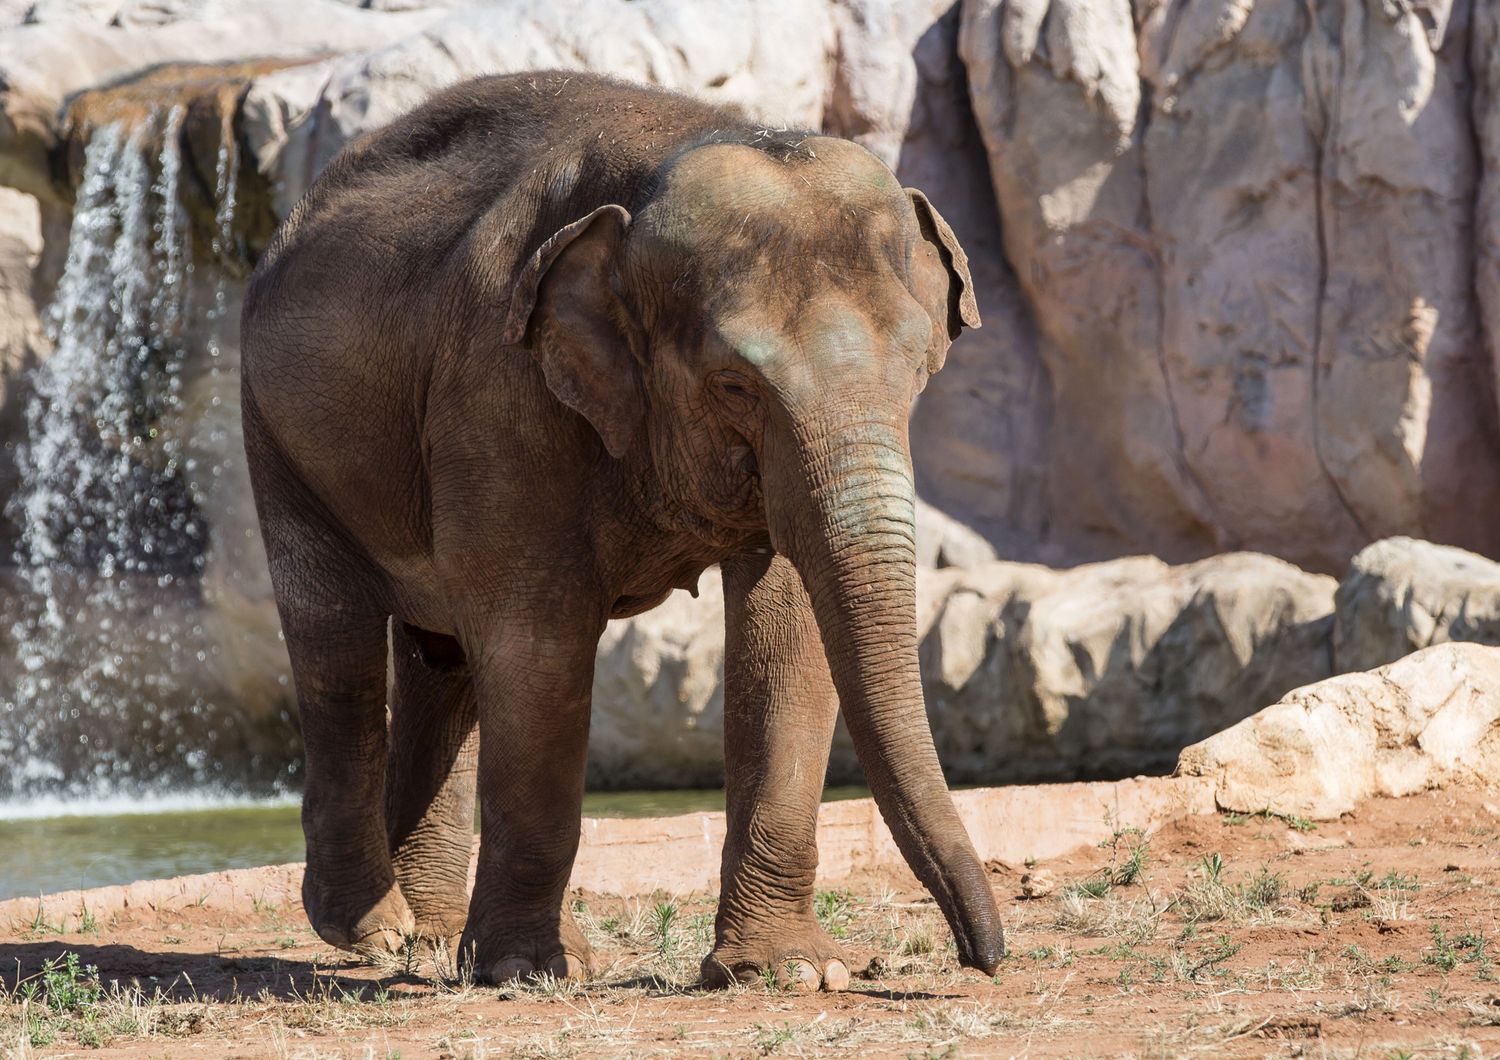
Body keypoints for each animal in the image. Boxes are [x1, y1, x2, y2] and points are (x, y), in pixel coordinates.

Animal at [240, 70, 1002, 989]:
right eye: (734, 384)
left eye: (920, 369)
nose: (983, 958)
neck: (678, 151)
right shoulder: (500, 385)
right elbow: (539, 644)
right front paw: (531, 971)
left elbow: (789, 635)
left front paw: (785, 971)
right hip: (278, 439)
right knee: (338, 648)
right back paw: (370, 930)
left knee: (441, 658)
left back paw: (428, 938)